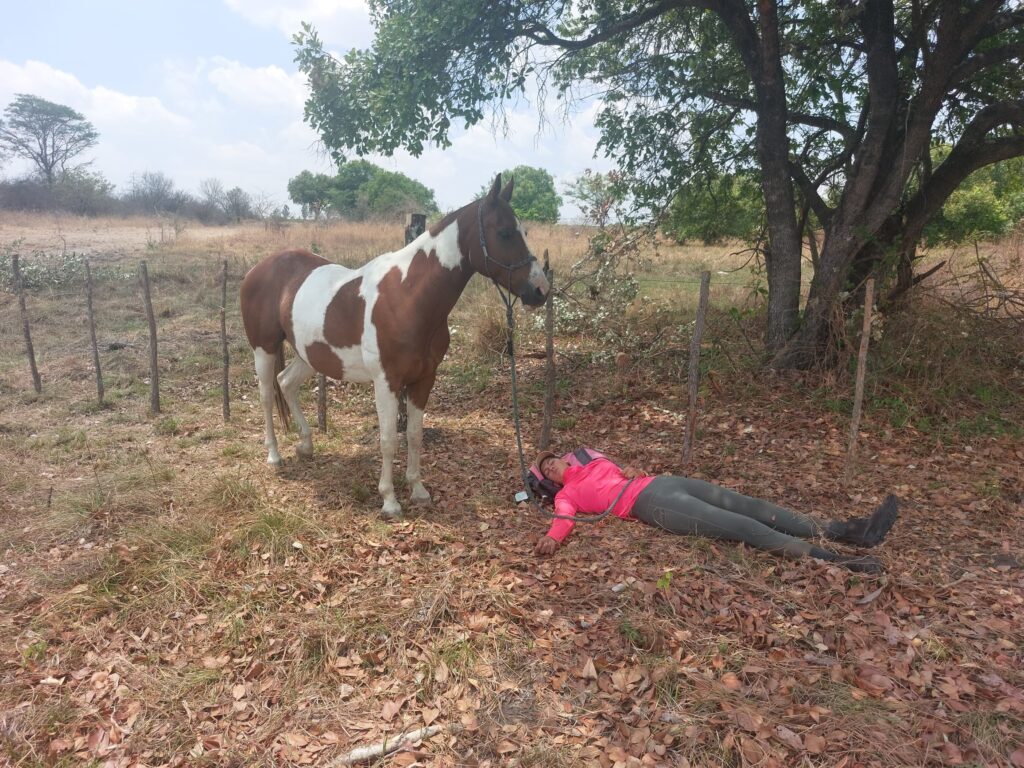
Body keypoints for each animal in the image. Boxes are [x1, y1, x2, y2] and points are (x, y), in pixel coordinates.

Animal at [240, 176, 552, 518]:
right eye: (505, 232)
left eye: (524, 231)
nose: (540, 290)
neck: (406, 297)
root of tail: (258, 269)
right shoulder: (386, 381)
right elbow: (389, 439)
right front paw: (389, 500)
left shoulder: (424, 379)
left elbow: (413, 435)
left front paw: (417, 489)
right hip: (264, 349)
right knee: (266, 396)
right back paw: (274, 456)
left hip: (309, 354)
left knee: (286, 383)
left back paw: (306, 445)